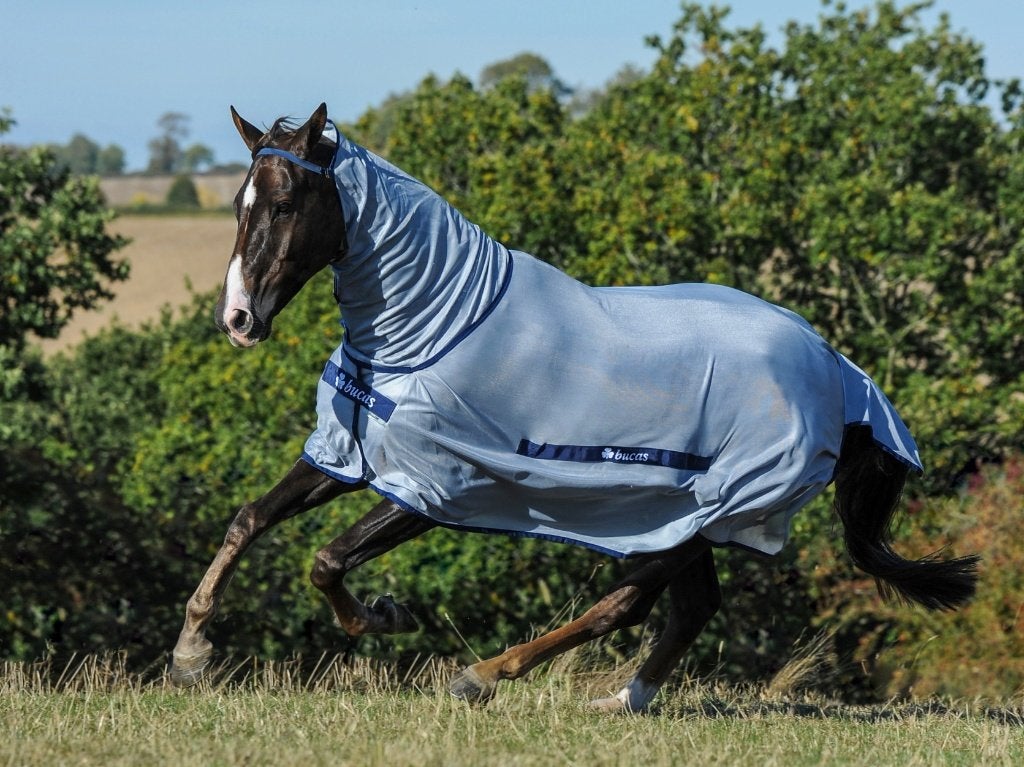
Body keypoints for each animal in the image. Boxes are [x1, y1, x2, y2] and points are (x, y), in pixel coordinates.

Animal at [169, 103, 979, 711]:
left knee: (625, 606)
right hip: (679, 515)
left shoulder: (436, 488)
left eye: (283, 204)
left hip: (706, 514)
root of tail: (838, 371)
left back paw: (485, 675)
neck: (434, 326)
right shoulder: (347, 456)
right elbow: (250, 518)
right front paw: (192, 651)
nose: (237, 319)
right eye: (239, 204)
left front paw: (383, 615)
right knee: (688, 609)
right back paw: (619, 701)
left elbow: (326, 559)